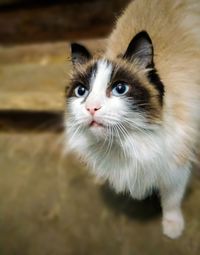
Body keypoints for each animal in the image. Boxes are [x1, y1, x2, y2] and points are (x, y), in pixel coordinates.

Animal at [65, 0, 199, 239]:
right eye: (82, 91)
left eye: (120, 89)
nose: (91, 108)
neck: (125, 144)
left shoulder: (176, 168)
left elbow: (171, 201)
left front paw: (172, 227)